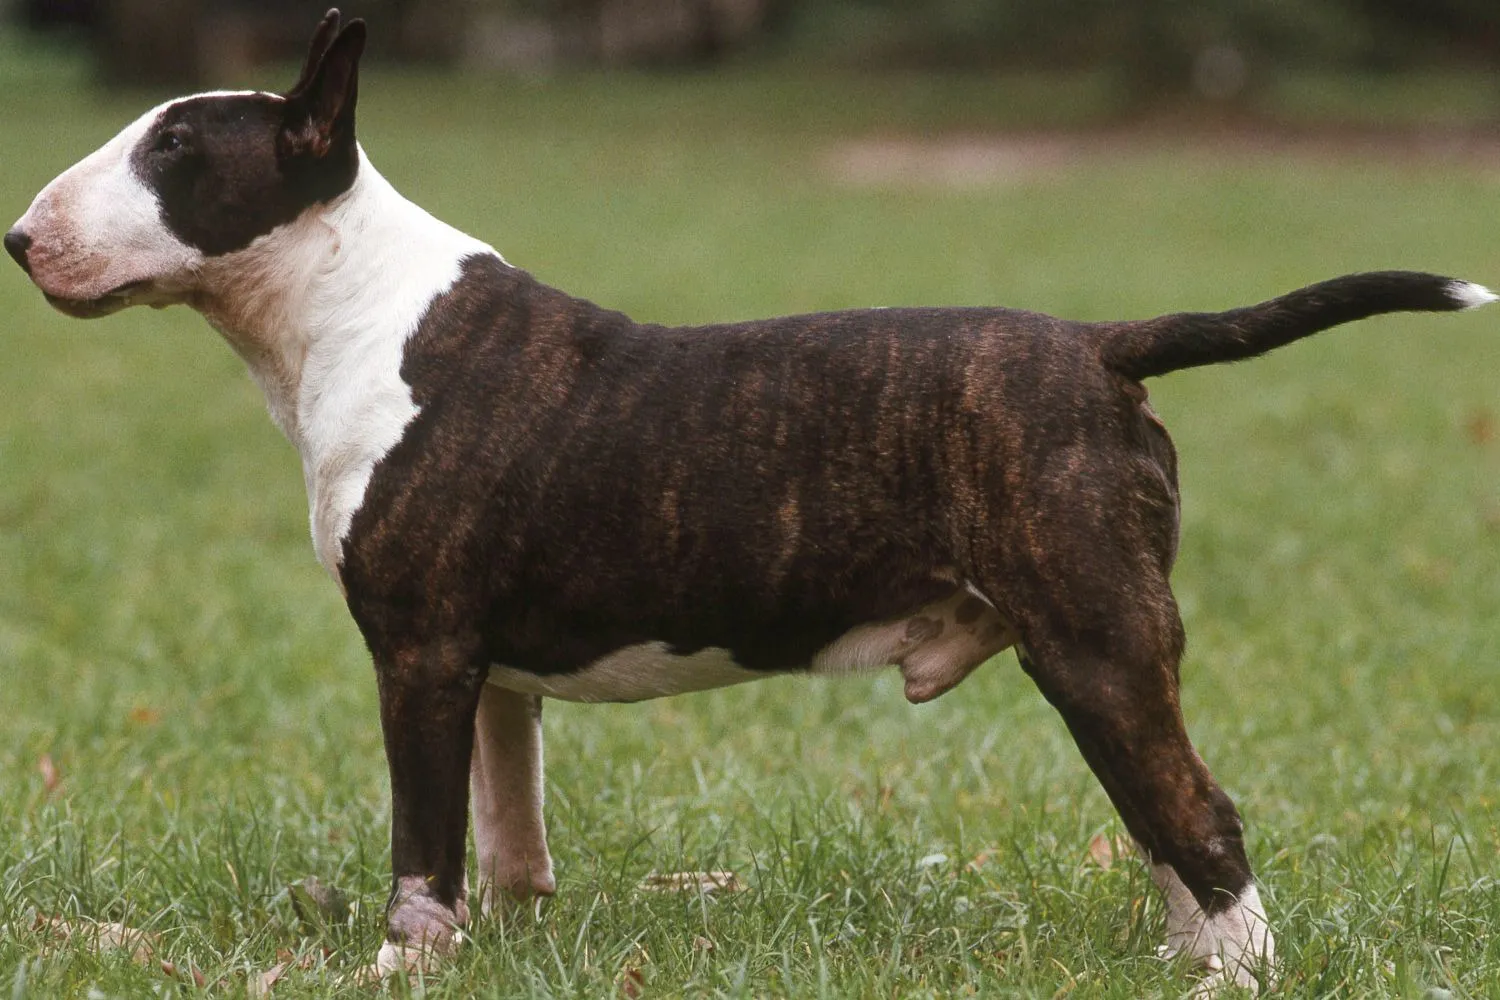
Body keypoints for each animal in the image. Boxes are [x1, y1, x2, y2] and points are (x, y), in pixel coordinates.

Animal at [5, 9, 1494, 995]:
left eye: (175, 151)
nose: (21, 240)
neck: (351, 308)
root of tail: (1099, 344)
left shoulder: (418, 654)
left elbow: (421, 844)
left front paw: (391, 968)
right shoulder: (491, 672)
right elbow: (508, 835)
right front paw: (508, 942)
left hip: (1096, 636)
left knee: (1202, 815)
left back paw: (1228, 972)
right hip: (1097, 649)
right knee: (1163, 821)